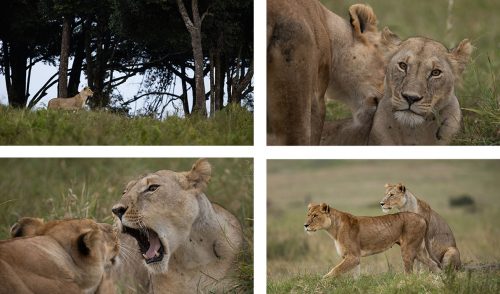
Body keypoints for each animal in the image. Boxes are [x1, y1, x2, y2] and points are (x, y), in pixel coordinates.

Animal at [304, 202, 442, 278]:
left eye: (315, 216)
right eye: (308, 215)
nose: (305, 225)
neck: (333, 229)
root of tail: (422, 217)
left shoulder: (353, 256)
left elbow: (335, 270)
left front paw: (322, 282)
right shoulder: (354, 258)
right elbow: (356, 275)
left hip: (408, 249)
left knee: (409, 273)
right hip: (419, 250)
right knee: (433, 264)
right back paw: (441, 279)